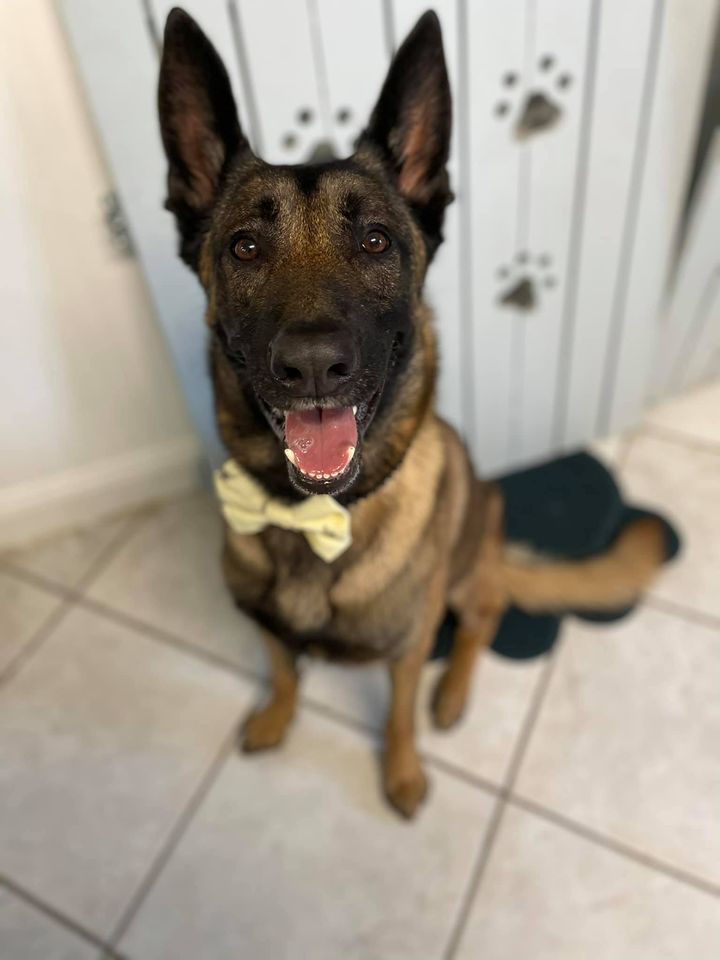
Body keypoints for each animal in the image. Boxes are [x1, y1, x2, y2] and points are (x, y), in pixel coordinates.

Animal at [157, 8, 667, 817]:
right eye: (244, 247)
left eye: (375, 240)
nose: (313, 366)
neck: (317, 521)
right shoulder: (265, 628)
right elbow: (284, 668)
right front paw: (276, 715)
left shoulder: (406, 648)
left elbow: (398, 716)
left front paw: (401, 774)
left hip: (464, 571)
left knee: (485, 612)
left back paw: (453, 693)